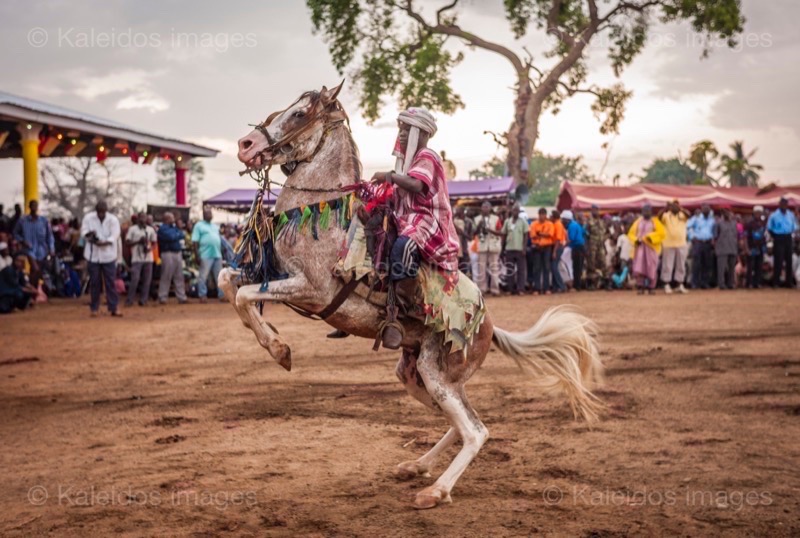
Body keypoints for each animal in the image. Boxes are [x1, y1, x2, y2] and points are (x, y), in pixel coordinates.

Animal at [219, 82, 600, 506]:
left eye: (300, 114)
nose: (246, 144)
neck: (321, 210)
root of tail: (487, 323)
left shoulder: (310, 288)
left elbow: (243, 294)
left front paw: (279, 349)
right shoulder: (276, 275)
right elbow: (227, 280)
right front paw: (270, 335)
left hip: (437, 374)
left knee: (475, 430)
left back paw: (435, 490)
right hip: (417, 374)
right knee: (461, 423)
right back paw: (417, 466)